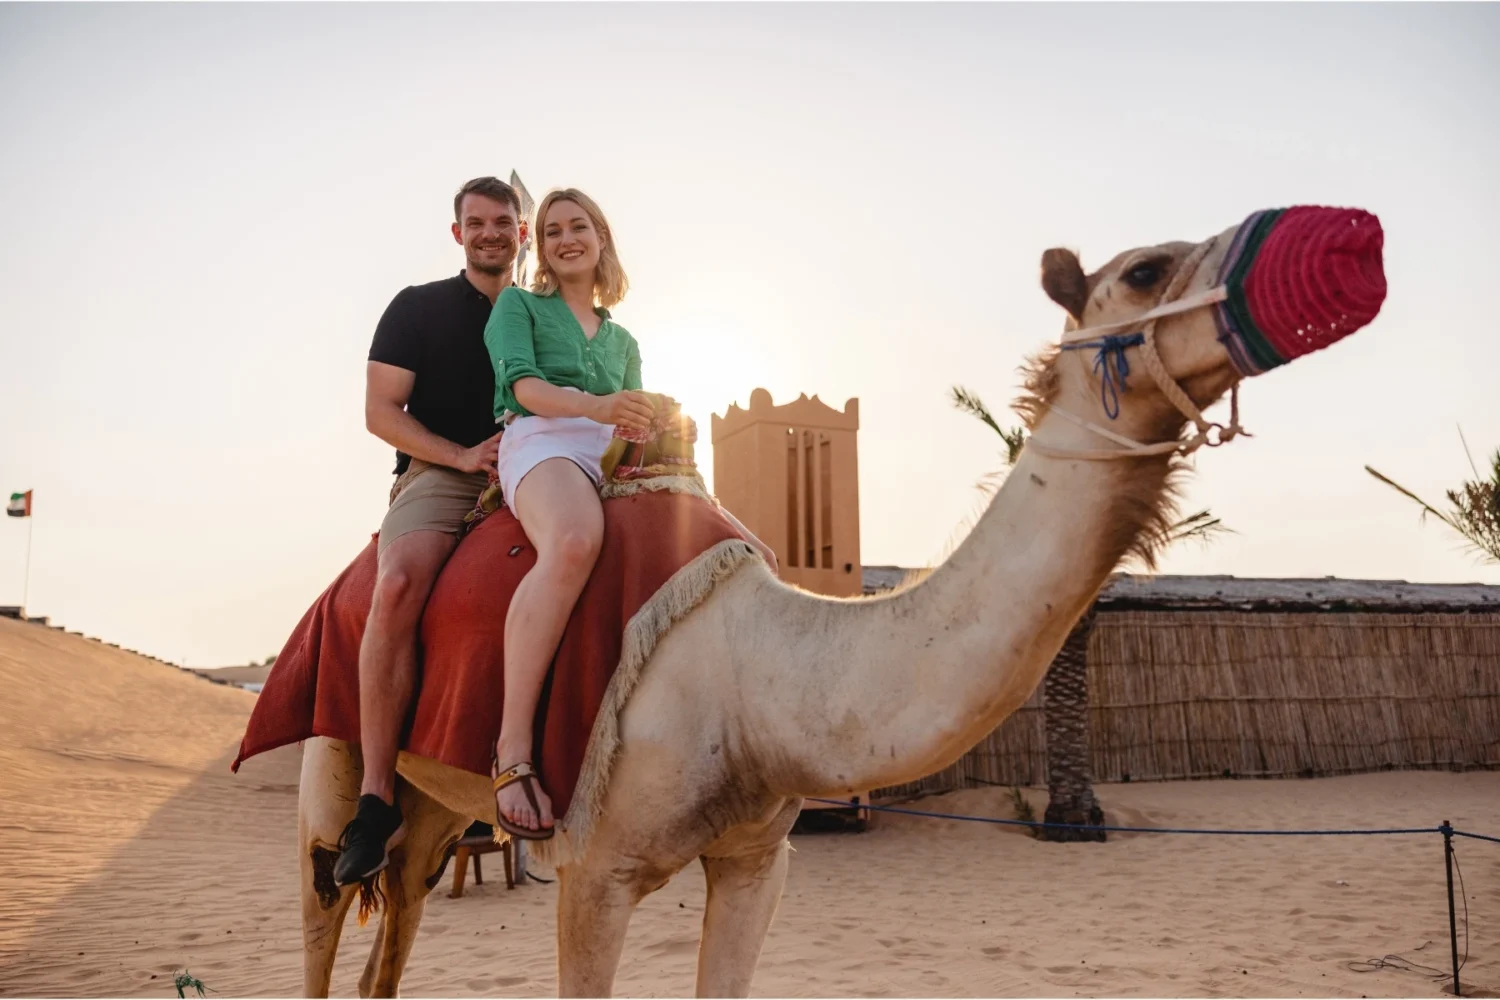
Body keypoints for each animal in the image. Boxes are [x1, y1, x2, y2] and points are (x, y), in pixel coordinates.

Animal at [292, 206, 1380, 995]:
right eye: (1149, 270)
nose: (1354, 242)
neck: (759, 674)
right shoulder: (592, 870)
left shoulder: (754, 861)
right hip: (343, 739)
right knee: (327, 903)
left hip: (442, 806)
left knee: (399, 926)